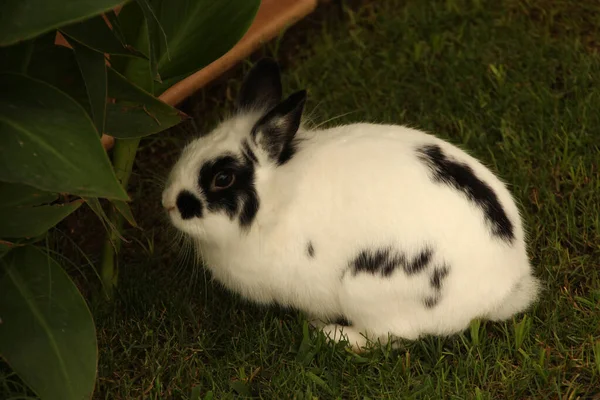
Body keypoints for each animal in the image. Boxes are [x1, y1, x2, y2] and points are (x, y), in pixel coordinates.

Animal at [162, 57, 540, 352]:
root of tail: (503, 288)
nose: (168, 204)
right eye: (191, 146)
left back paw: (329, 334)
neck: (272, 202)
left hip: (366, 291)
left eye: (222, 178)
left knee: (387, 338)